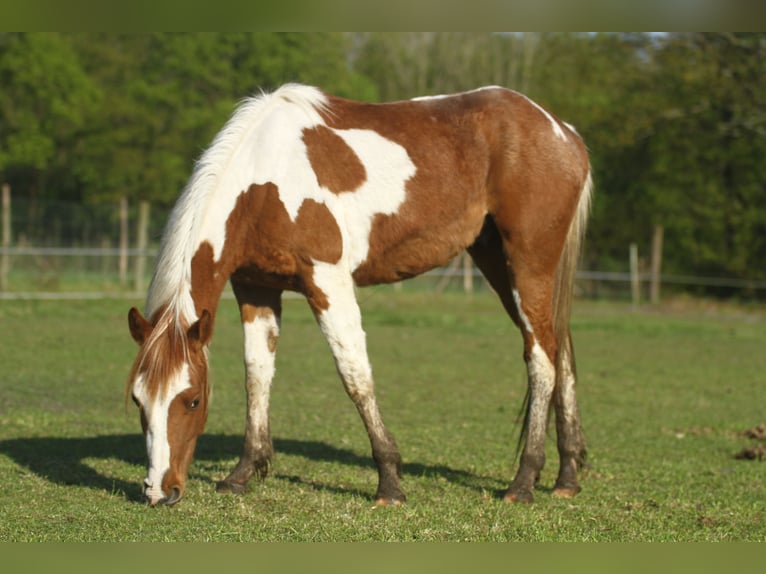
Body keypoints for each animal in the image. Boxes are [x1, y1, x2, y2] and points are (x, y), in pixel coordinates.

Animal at [127, 83, 592, 506]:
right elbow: (257, 375)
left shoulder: (328, 281)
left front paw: (389, 483)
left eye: (192, 400)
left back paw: (523, 482)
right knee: (561, 351)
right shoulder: (256, 288)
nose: (160, 491)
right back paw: (567, 477)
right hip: (498, 262)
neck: (262, 181)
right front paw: (245, 471)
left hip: (528, 263)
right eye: (137, 399)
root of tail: (562, 131)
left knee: (541, 360)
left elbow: (355, 376)